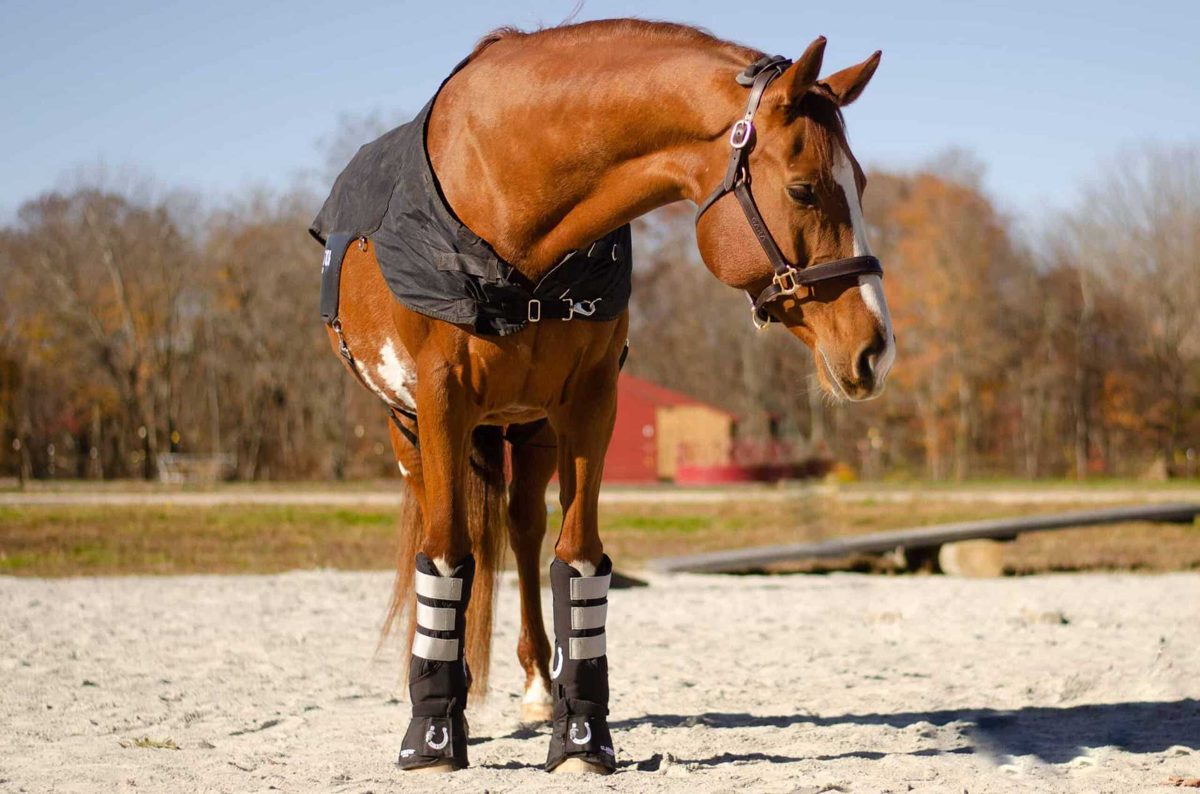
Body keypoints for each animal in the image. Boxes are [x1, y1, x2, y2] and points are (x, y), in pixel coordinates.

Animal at [314, 19, 895, 775]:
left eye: (860, 184)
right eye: (802, 189)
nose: (876, 347)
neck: (510, 205)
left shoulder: (590, 402)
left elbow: (578, 556)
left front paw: (582, 734)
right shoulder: (440, 400)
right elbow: (444, 552)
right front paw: (433, 733)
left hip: (527, 428)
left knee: (523, 528)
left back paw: (538, 685)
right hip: (408, 426)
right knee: (447, 533)